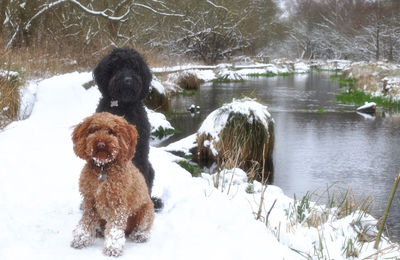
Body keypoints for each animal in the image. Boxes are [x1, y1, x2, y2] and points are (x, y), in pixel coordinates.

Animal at [70, 111, 155, 256]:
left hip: (146, 211)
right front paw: (81, 239)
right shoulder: (90, 201)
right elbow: (86, 222)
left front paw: (113, 247)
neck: (103, 168)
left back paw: (140, 235)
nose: (101, 144)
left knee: (143, 227)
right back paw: (98, 231)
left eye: (111, 132)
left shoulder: (118, 204)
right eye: (93, 130)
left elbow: (115, 228)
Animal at [93, 47, 163, 210]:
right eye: (117, 66)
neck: (124, 106)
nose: (128, 80)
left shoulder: (140, 152)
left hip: (150, 168)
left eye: (134, 67)